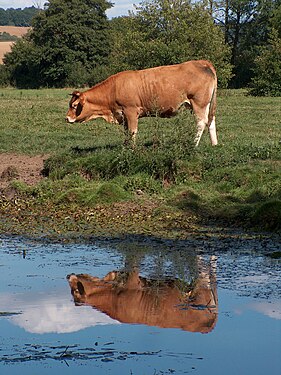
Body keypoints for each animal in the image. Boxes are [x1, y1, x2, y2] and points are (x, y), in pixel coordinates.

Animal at [65, 59, 217, 146]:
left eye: (74, 106)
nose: (66, 118)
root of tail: (202, 62)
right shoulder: (123, 115)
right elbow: (126, 133)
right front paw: (125, 146)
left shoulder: (131, 111)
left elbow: (132, 131)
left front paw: (132, 149)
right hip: (204, 104)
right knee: (211, 121)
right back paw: (214, 144)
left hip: (198, 103)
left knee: (201, 123)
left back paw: (193, 144)